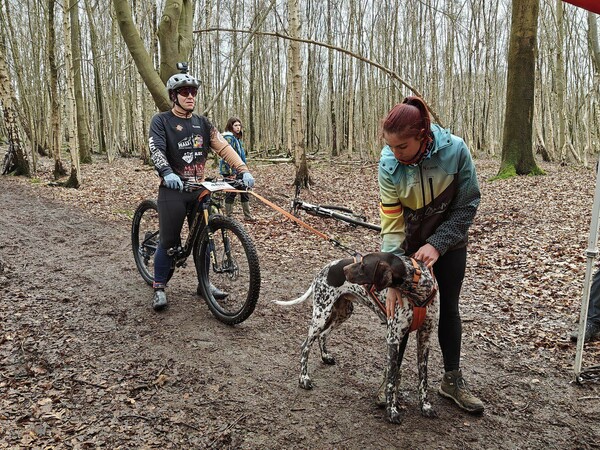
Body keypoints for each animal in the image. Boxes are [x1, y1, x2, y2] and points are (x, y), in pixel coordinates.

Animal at [274, 251, 438, 424]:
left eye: (364, 264)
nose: (344, 269)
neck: (418, 291)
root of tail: (324, 269)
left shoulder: (424, 338)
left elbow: (423, 378)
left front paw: (426, 406)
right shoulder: (393, 338)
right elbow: (391, 380)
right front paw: (392, 410)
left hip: (343, 312)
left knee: (323, 335)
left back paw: (325, 356)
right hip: (321, 314)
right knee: (305, 345)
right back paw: (304, 378)